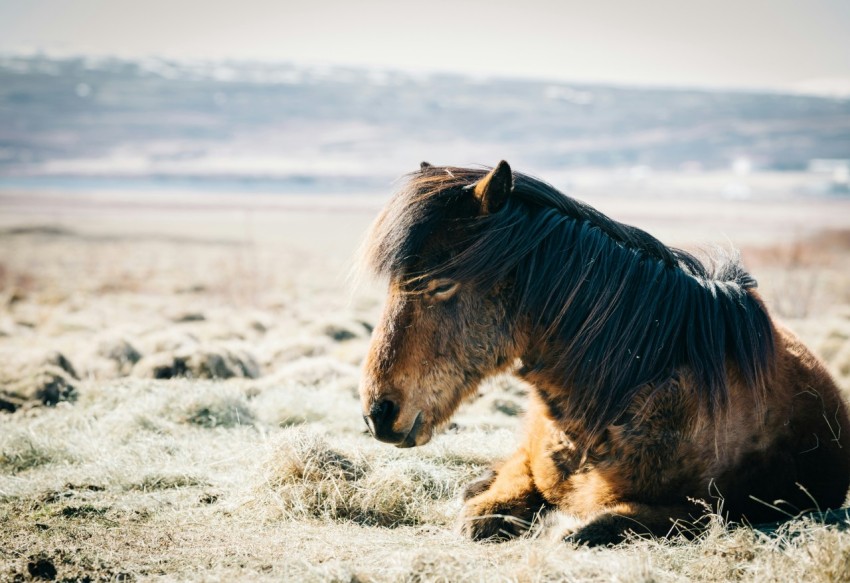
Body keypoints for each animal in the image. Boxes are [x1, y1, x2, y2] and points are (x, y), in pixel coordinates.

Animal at [358, 160, 850, 545]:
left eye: (441, 284)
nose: (379, 412)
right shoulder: (528, 466)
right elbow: (485, 510)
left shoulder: (705, 510)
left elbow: (594, 527)